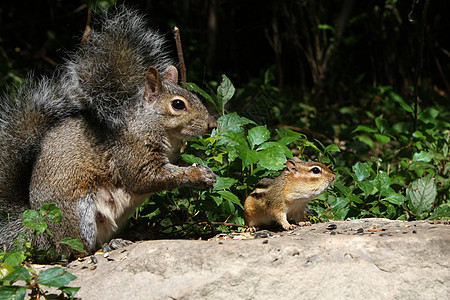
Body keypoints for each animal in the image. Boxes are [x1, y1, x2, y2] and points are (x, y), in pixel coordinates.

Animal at [0, 6, 218, 255]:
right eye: (178, 104)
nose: (212, 124)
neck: (151, 126)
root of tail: (39, 229)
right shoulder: (130, 151)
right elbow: (145, 178)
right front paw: (196, 175)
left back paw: (125, 238)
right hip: (76, 213)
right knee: (76, 249)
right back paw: (102, 248)